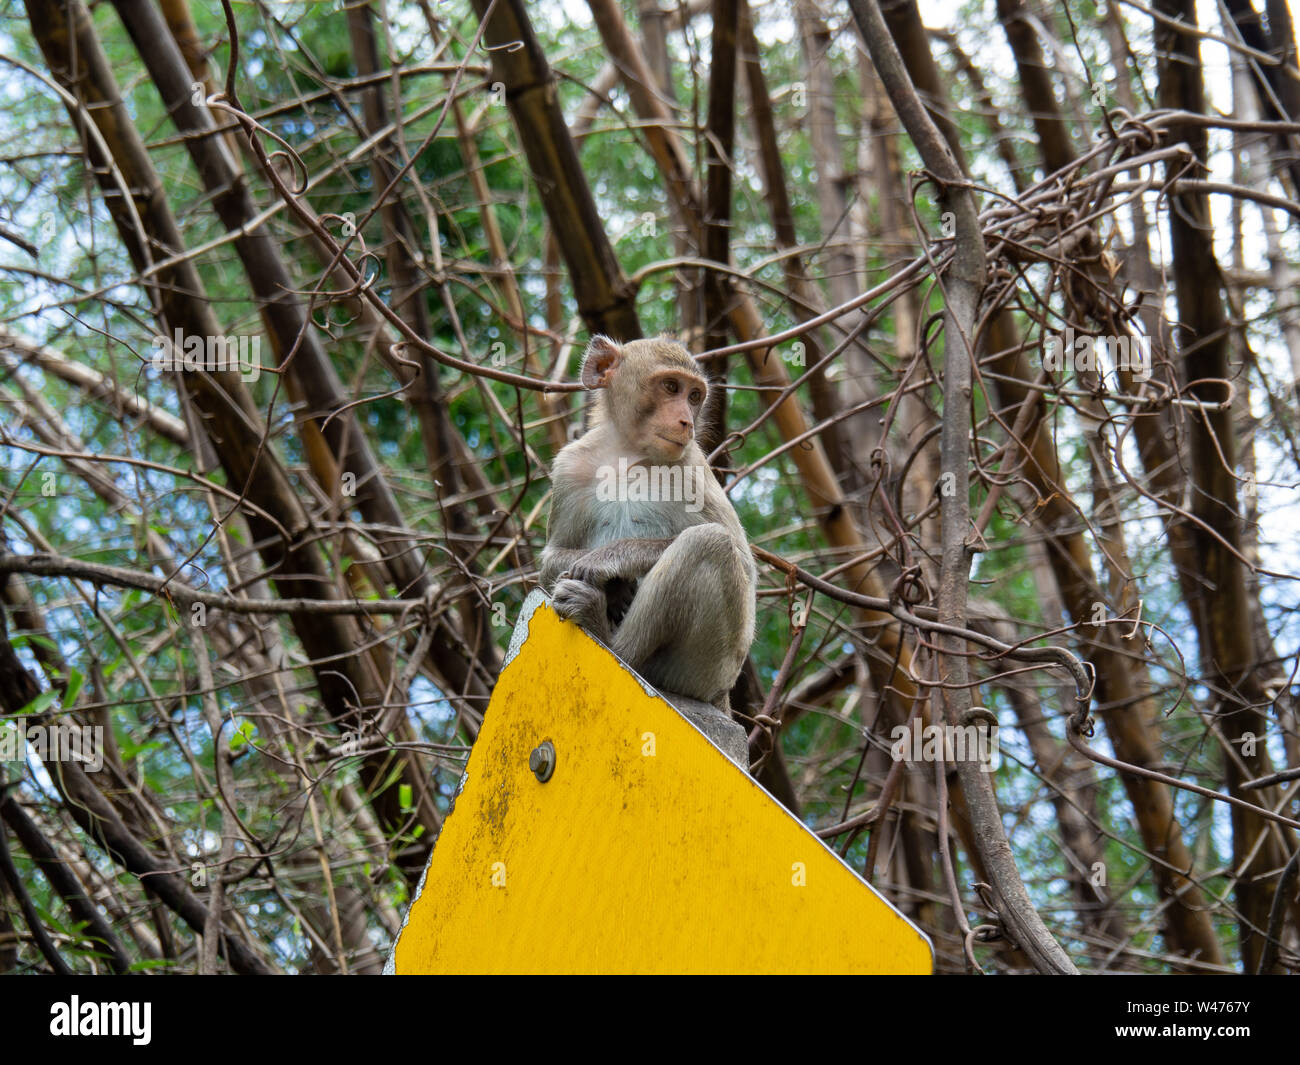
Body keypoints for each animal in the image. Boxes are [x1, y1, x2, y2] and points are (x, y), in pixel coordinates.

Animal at [539, 335, 756, 712]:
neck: (625, 455)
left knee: (709, 543)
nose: (687, 422)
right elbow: (551, 557)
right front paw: (614, 585)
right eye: (671, 387)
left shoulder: (691, 467)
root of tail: (721, 697)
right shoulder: (568, 466)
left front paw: (610, 561)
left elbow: (745, 566)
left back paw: (611, 641)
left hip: (713, 667)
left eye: (694, 396)